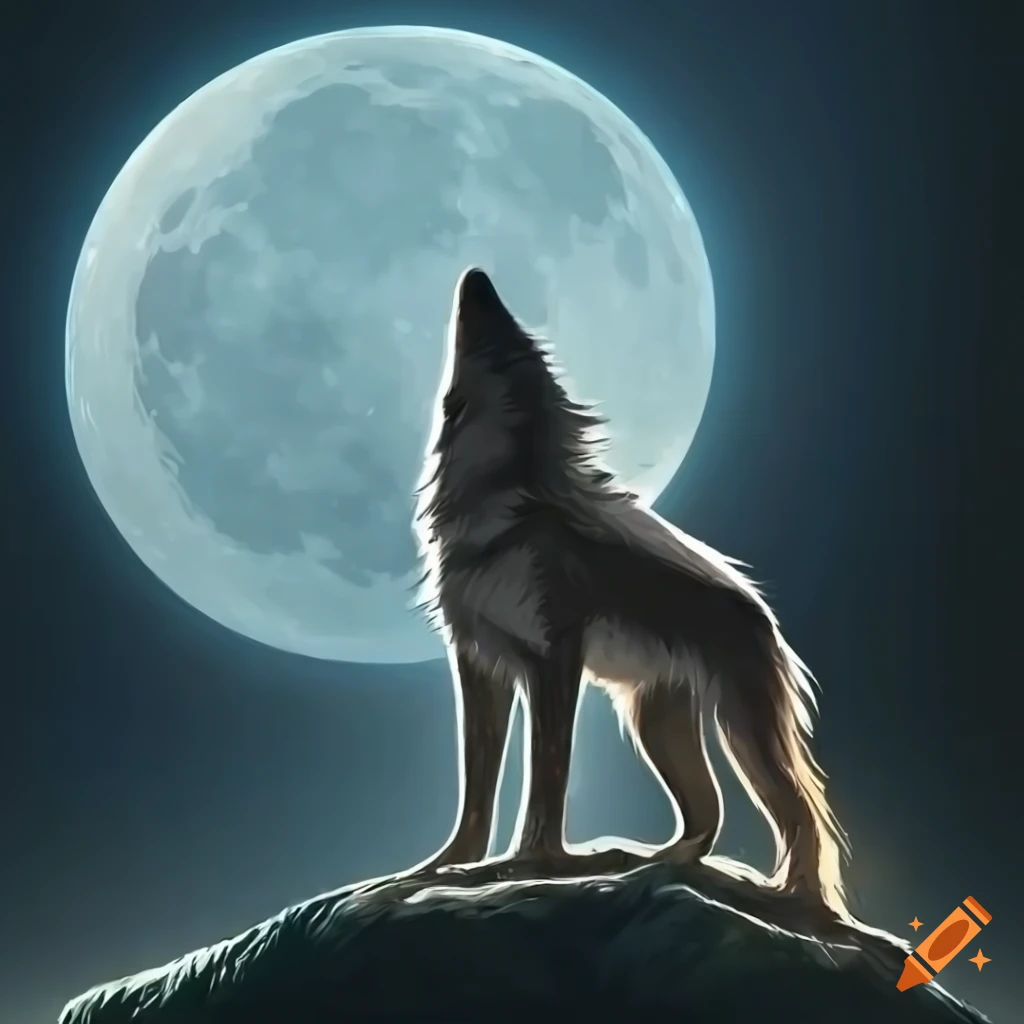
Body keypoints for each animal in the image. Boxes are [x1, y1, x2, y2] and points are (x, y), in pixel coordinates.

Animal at [411, 267, 852, 922]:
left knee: (802, 814)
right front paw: (445, 868)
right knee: (709, 816)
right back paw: (646, 860)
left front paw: (523, 866)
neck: (499, 512)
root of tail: (764, 616)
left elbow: (547, 780)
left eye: (502, 335)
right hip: (658, 725)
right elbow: (476, 792)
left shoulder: (553, 659)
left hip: (740, 730)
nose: (477, 276)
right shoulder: (478, 664)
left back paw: (791, 899)